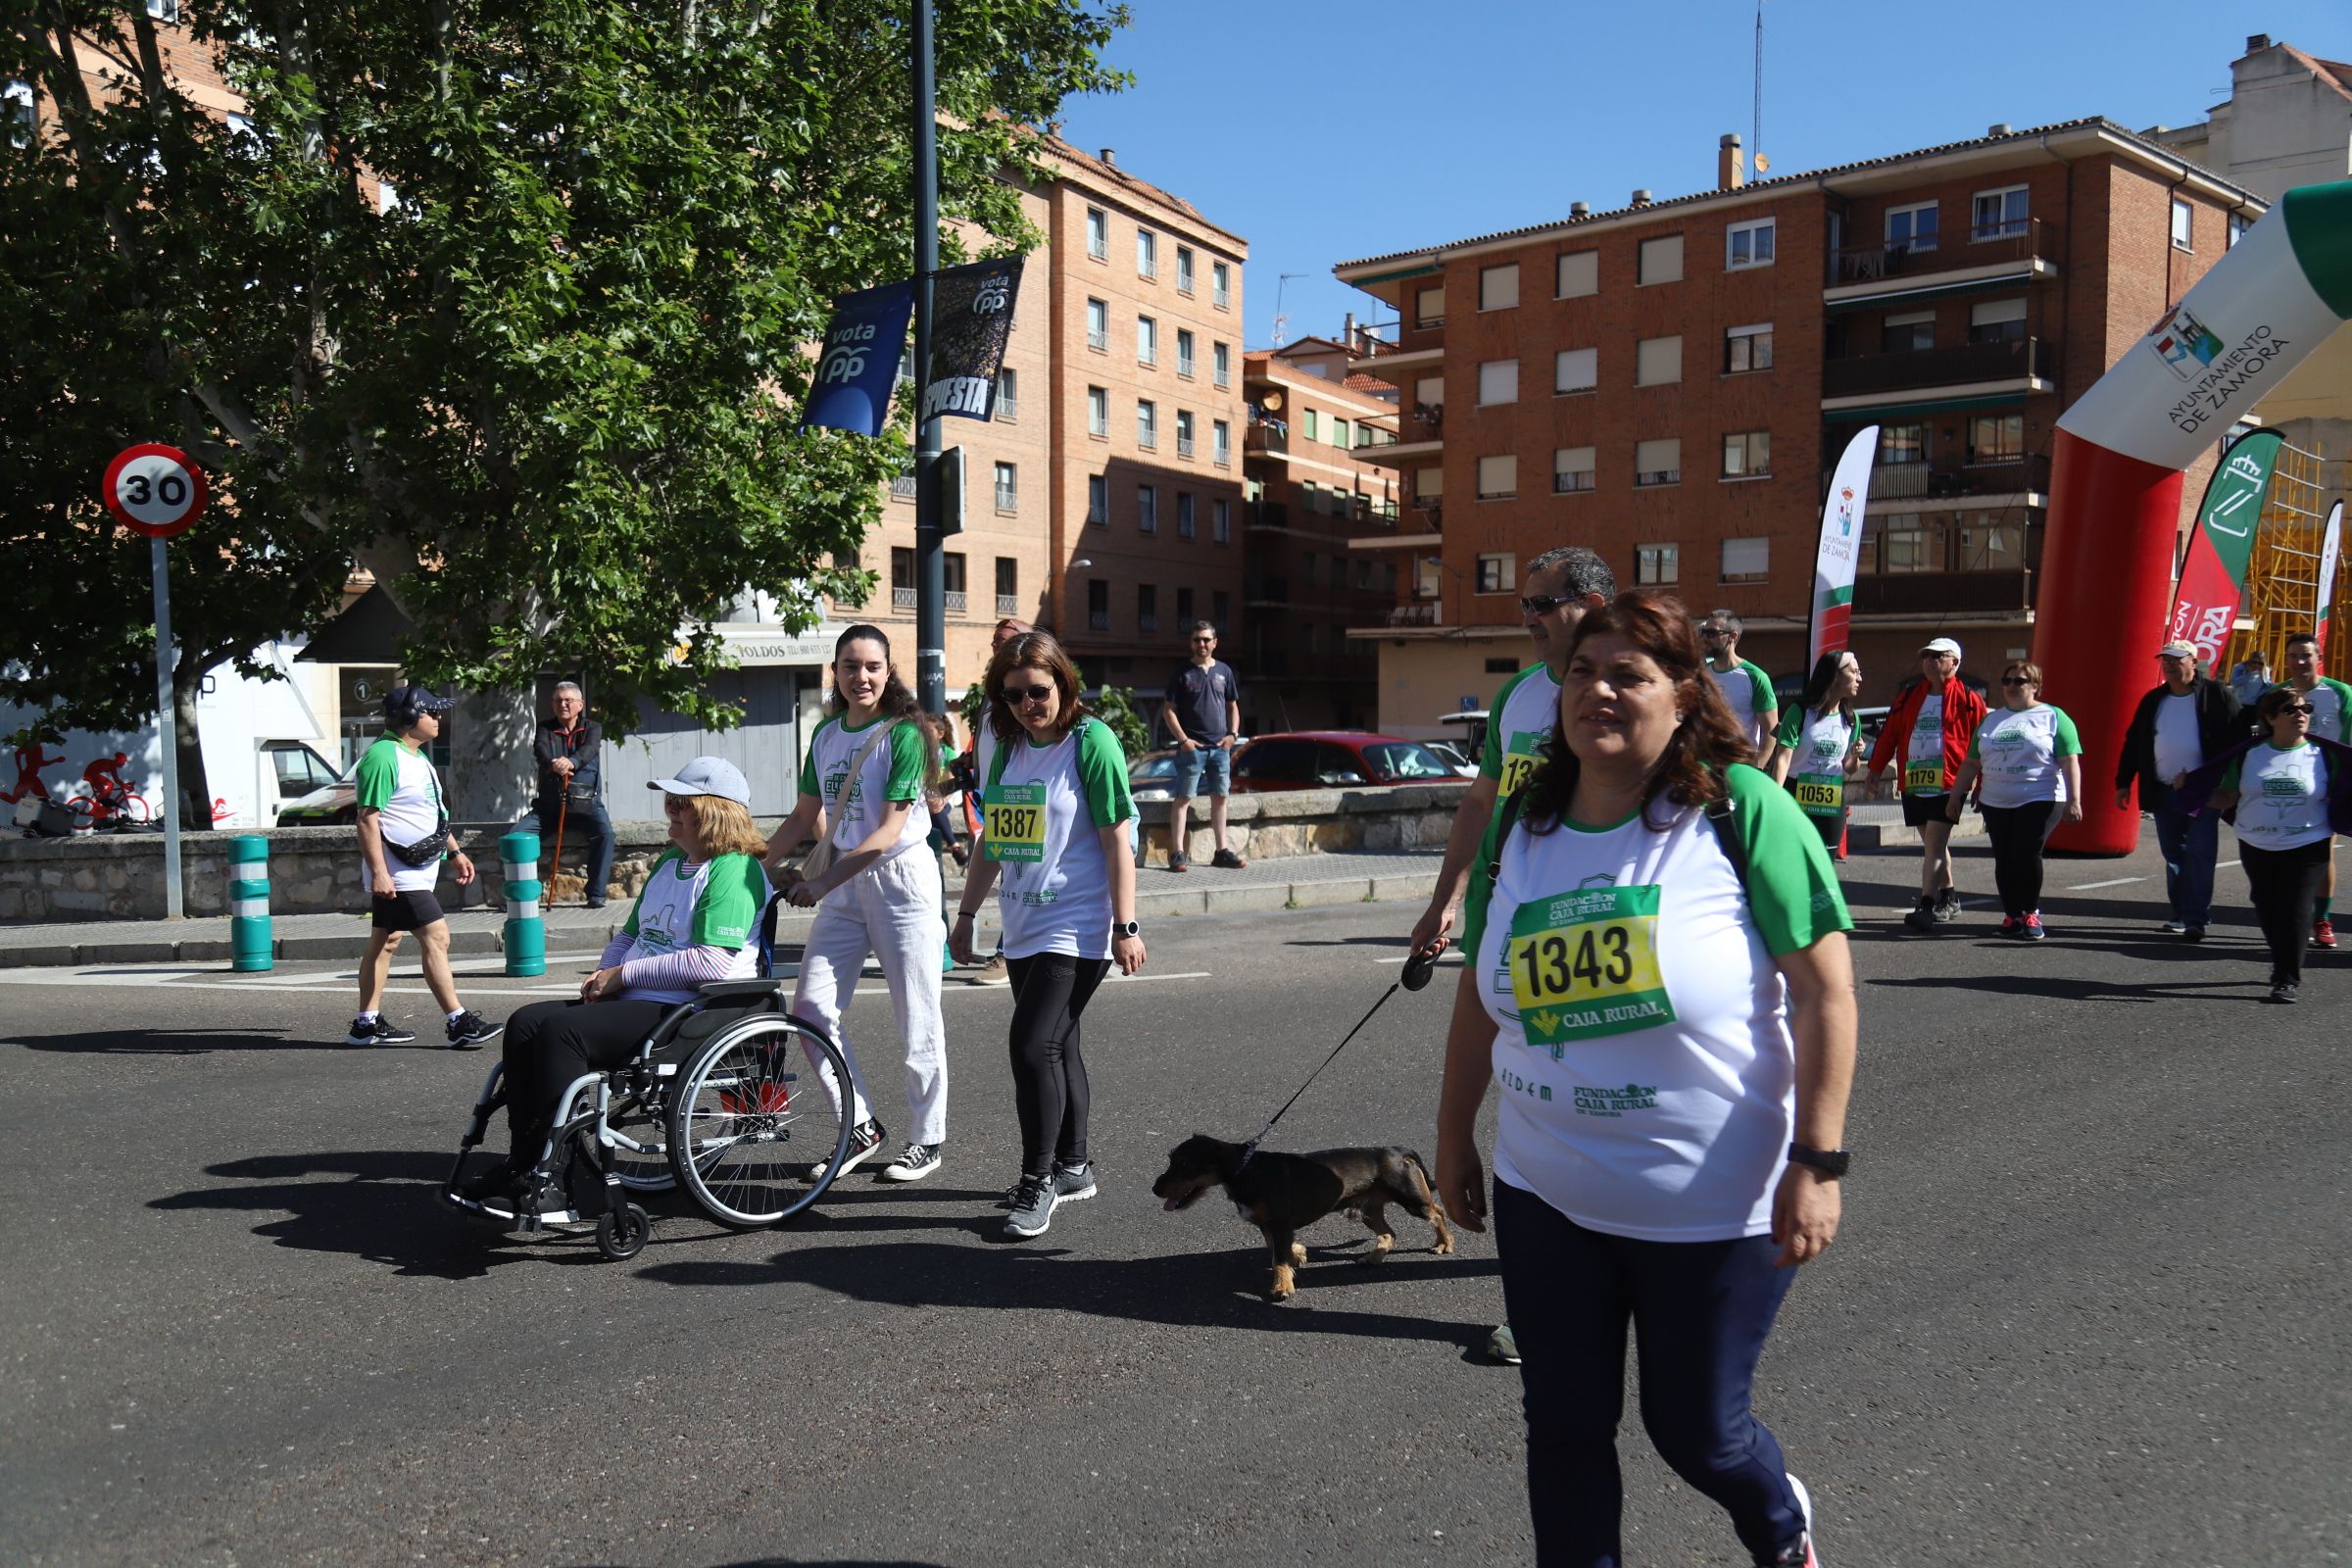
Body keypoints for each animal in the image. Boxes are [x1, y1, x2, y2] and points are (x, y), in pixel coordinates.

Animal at [1152, 1133, 1458, 1306]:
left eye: (1184, 1165)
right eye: (1170, 1160)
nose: (1155, 1189)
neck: (1247, 1170)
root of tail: (1396, 1150)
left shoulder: (1279, 1223)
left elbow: (1278, 1257)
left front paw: (1282, 1287)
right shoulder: (1268, 1225)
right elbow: (1275, 1249)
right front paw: (1298, 1255)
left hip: (1413, 1201)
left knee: (1438, 1212)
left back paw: (1444, 1244)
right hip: (1367, 1209)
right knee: (1389, 1233)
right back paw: (1373, 1258)